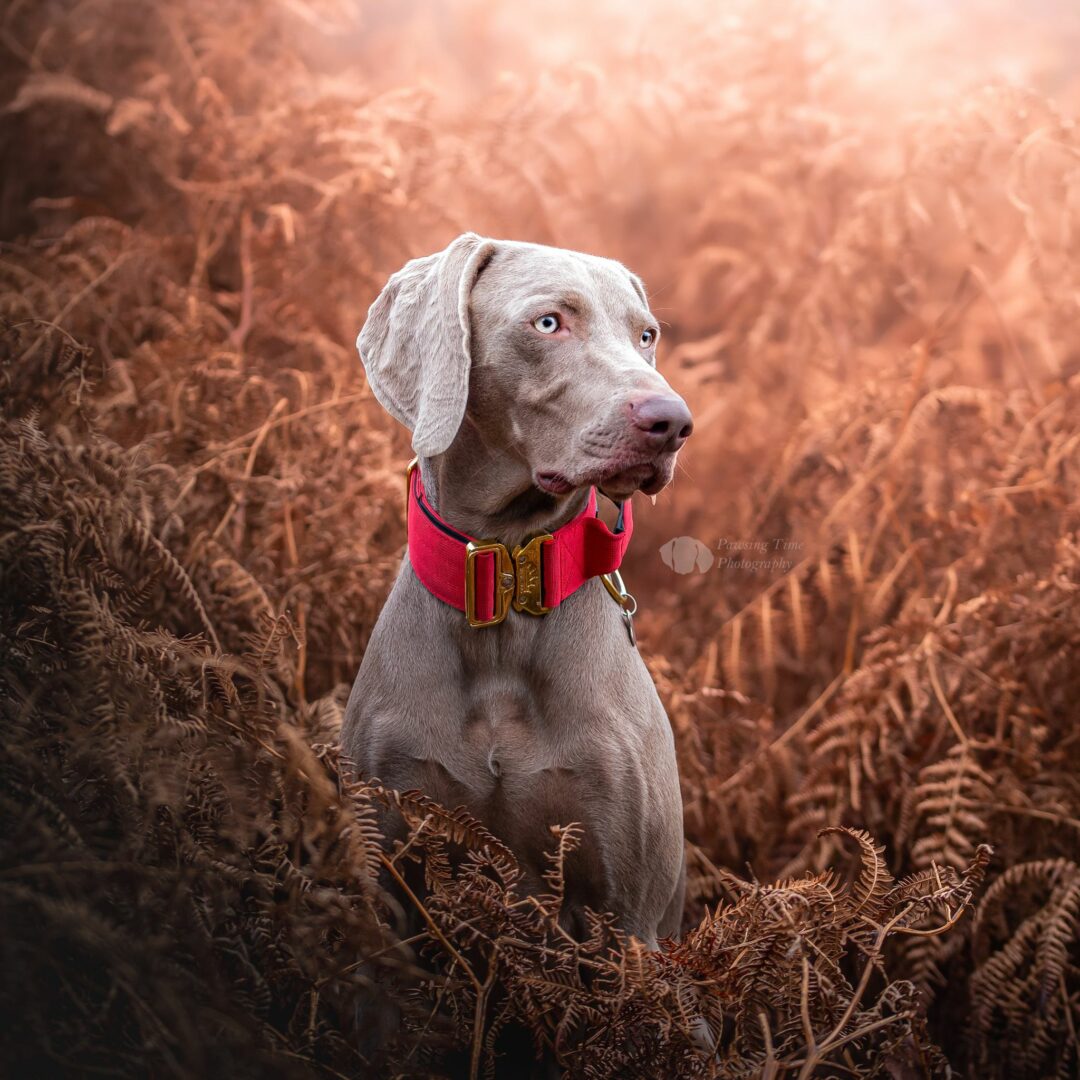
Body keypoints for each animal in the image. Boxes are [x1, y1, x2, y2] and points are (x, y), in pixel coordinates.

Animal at [347, 234, 699, 946]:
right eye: (548, 323)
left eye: (646, 335)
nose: (674, 422)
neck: (506, 584)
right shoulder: (390, 880)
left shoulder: (628, 919)